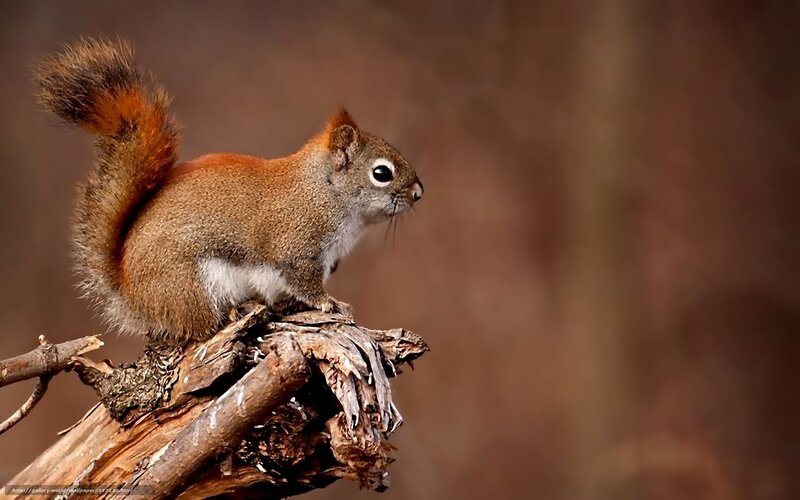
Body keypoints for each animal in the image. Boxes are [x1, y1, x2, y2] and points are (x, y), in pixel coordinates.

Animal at [35, 38, 423, 344]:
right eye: (381, 173)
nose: (419, 192)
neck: (324, 191)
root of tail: (133, 295)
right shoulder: (296, 247)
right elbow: (304, 282)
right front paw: (330, 303)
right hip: (193, 285)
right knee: (202, 326)